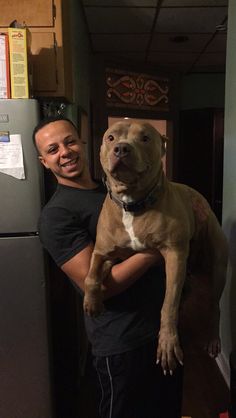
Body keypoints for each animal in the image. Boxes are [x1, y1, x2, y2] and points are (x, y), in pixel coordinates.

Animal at [83, 119, 229, 374]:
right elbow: (91, 276)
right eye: (110, 137)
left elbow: (168, 303)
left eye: (145, 138)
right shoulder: (103, 251)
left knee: (214, 305)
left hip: (217, 266)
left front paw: (168, 343)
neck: (132, 203)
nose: (121, 148)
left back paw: (212, 340)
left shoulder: (174, 255)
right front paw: (93, 301)